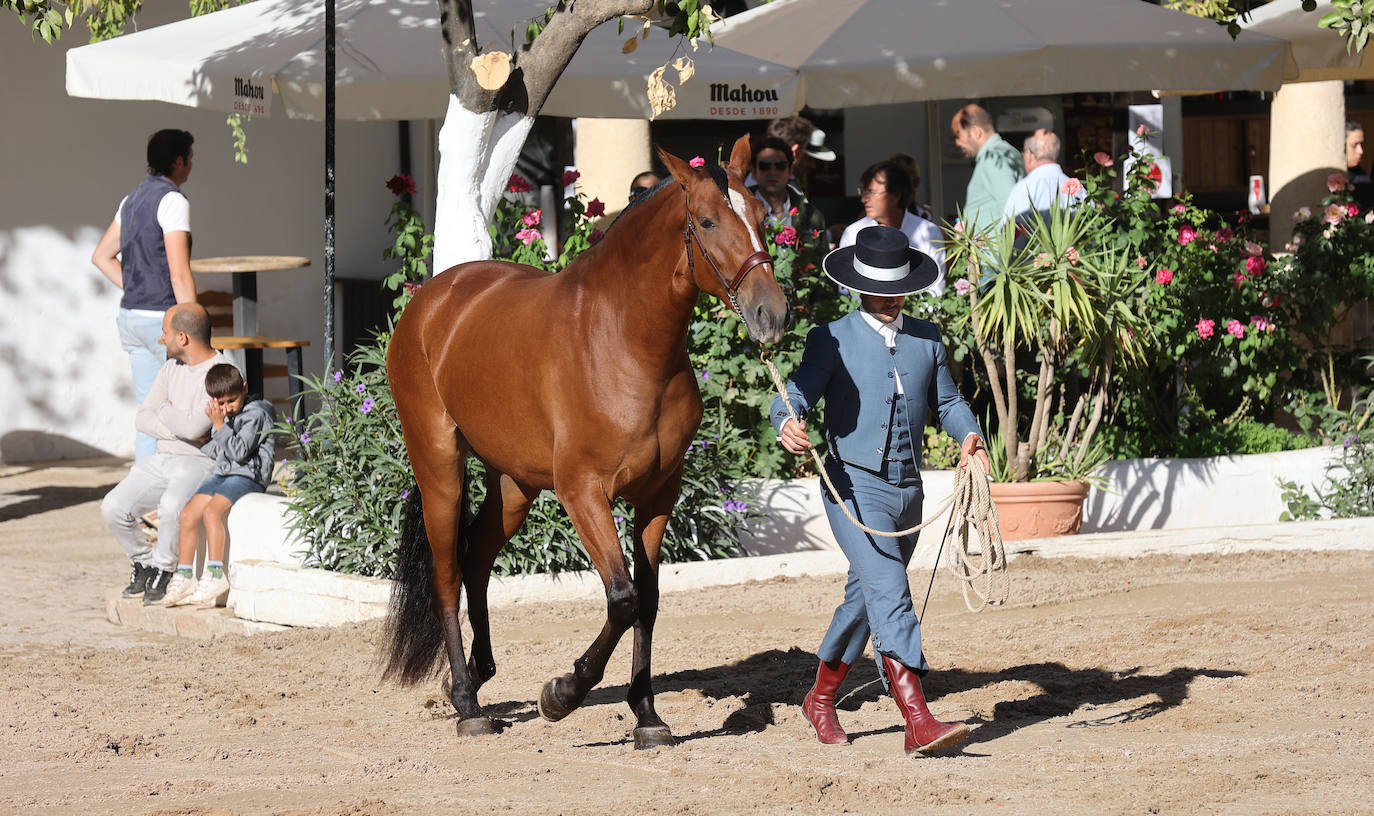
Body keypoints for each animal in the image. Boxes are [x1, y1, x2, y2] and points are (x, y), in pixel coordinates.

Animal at [384, 135, 785, 747]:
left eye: (764, 216)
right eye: (708, 221)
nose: (772, 314)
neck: (624, 341)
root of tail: (431, 302)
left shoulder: (658, 496)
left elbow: (647, 600)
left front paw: (647, 716)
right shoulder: (583, 492)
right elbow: (621, 599)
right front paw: (562, 693)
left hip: (515, 484)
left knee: (477, 559)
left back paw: (476, 677)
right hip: (440, 468)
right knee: (448, 572)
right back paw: (468, 704)